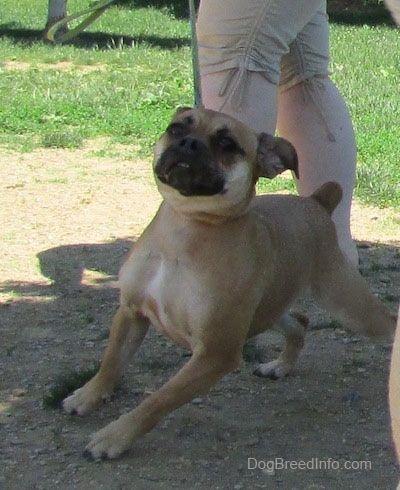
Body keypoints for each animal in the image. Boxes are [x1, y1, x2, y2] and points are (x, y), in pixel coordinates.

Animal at [61, 106, 394, 460]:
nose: (190, 143)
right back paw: (279, 366)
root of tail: (316, 202)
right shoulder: (130, 313)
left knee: (388, 323)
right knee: (299, 322)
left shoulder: (215, 353)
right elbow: (111, 362)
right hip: (268, 308)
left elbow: (158, 400)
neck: (184, 229)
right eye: (176, 128)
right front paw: (88, 396)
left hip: (348, 305)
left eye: (227, 144)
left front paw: (115, 435)